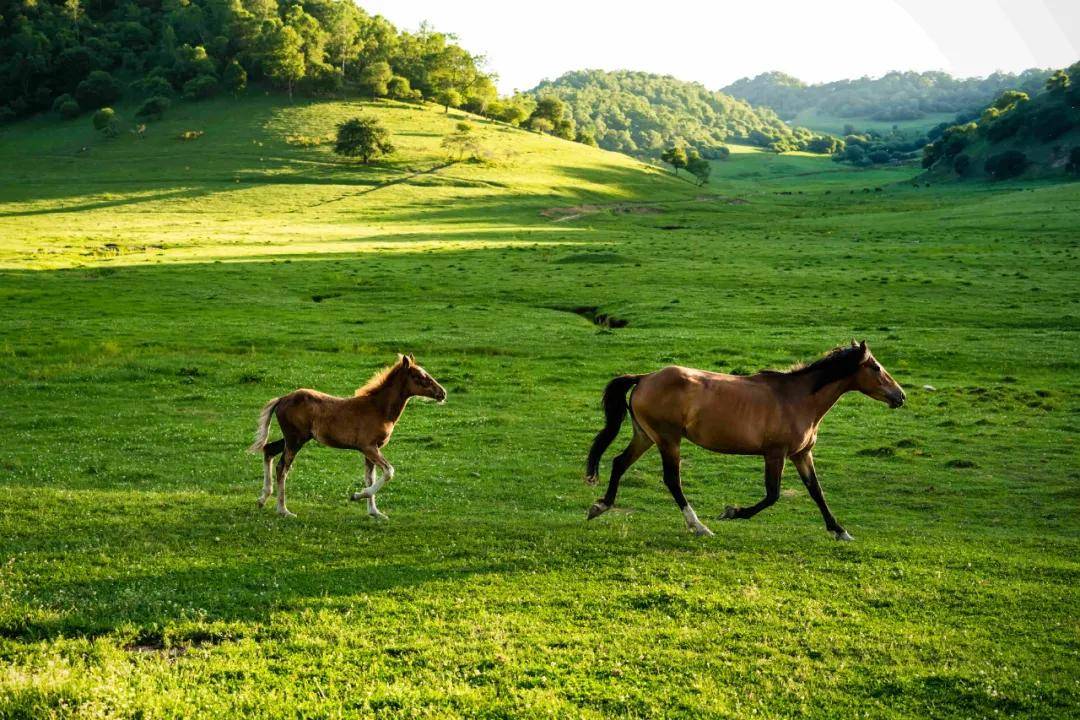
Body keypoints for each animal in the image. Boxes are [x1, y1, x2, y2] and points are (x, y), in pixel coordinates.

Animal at [247, 354, 444, 518]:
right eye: (419, 376)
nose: (442, 393)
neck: (379, 409)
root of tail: (282, 399)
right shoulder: (368, 447)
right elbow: (388, 472)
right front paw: (356, 495)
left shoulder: (372, 450)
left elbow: (370, 478)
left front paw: (375, 512)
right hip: (295, 440)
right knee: (282, 468)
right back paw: (283, 510)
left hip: (294, 438)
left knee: (268, 450)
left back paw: (262, 499)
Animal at [587, 343, 907, 539]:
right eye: (876, 368)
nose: (900, 396)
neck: (797, 398)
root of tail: (645, 377)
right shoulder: (775, 454)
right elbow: (772, 495)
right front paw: (732, 512)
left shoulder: (802, 454)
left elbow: (816, 491)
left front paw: (840, 531)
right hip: (668, 440)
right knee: (671, 480)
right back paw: (699, 526)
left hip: (646, 436)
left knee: (619, 463)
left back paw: (600, 507)